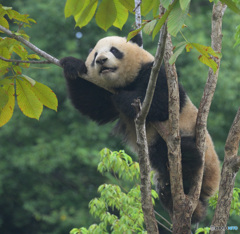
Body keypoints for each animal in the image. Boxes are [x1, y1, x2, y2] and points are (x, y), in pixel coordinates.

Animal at [59, 34, 219, 223]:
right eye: (95, 54)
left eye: (114, 50)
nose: (101, 60)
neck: (124, 83)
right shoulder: (105, 95)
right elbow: (92, 105)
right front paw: (71, 65)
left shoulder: (155, 73)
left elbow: (160, 102)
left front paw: (124, 98)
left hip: (197, 153)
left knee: (186, 155)